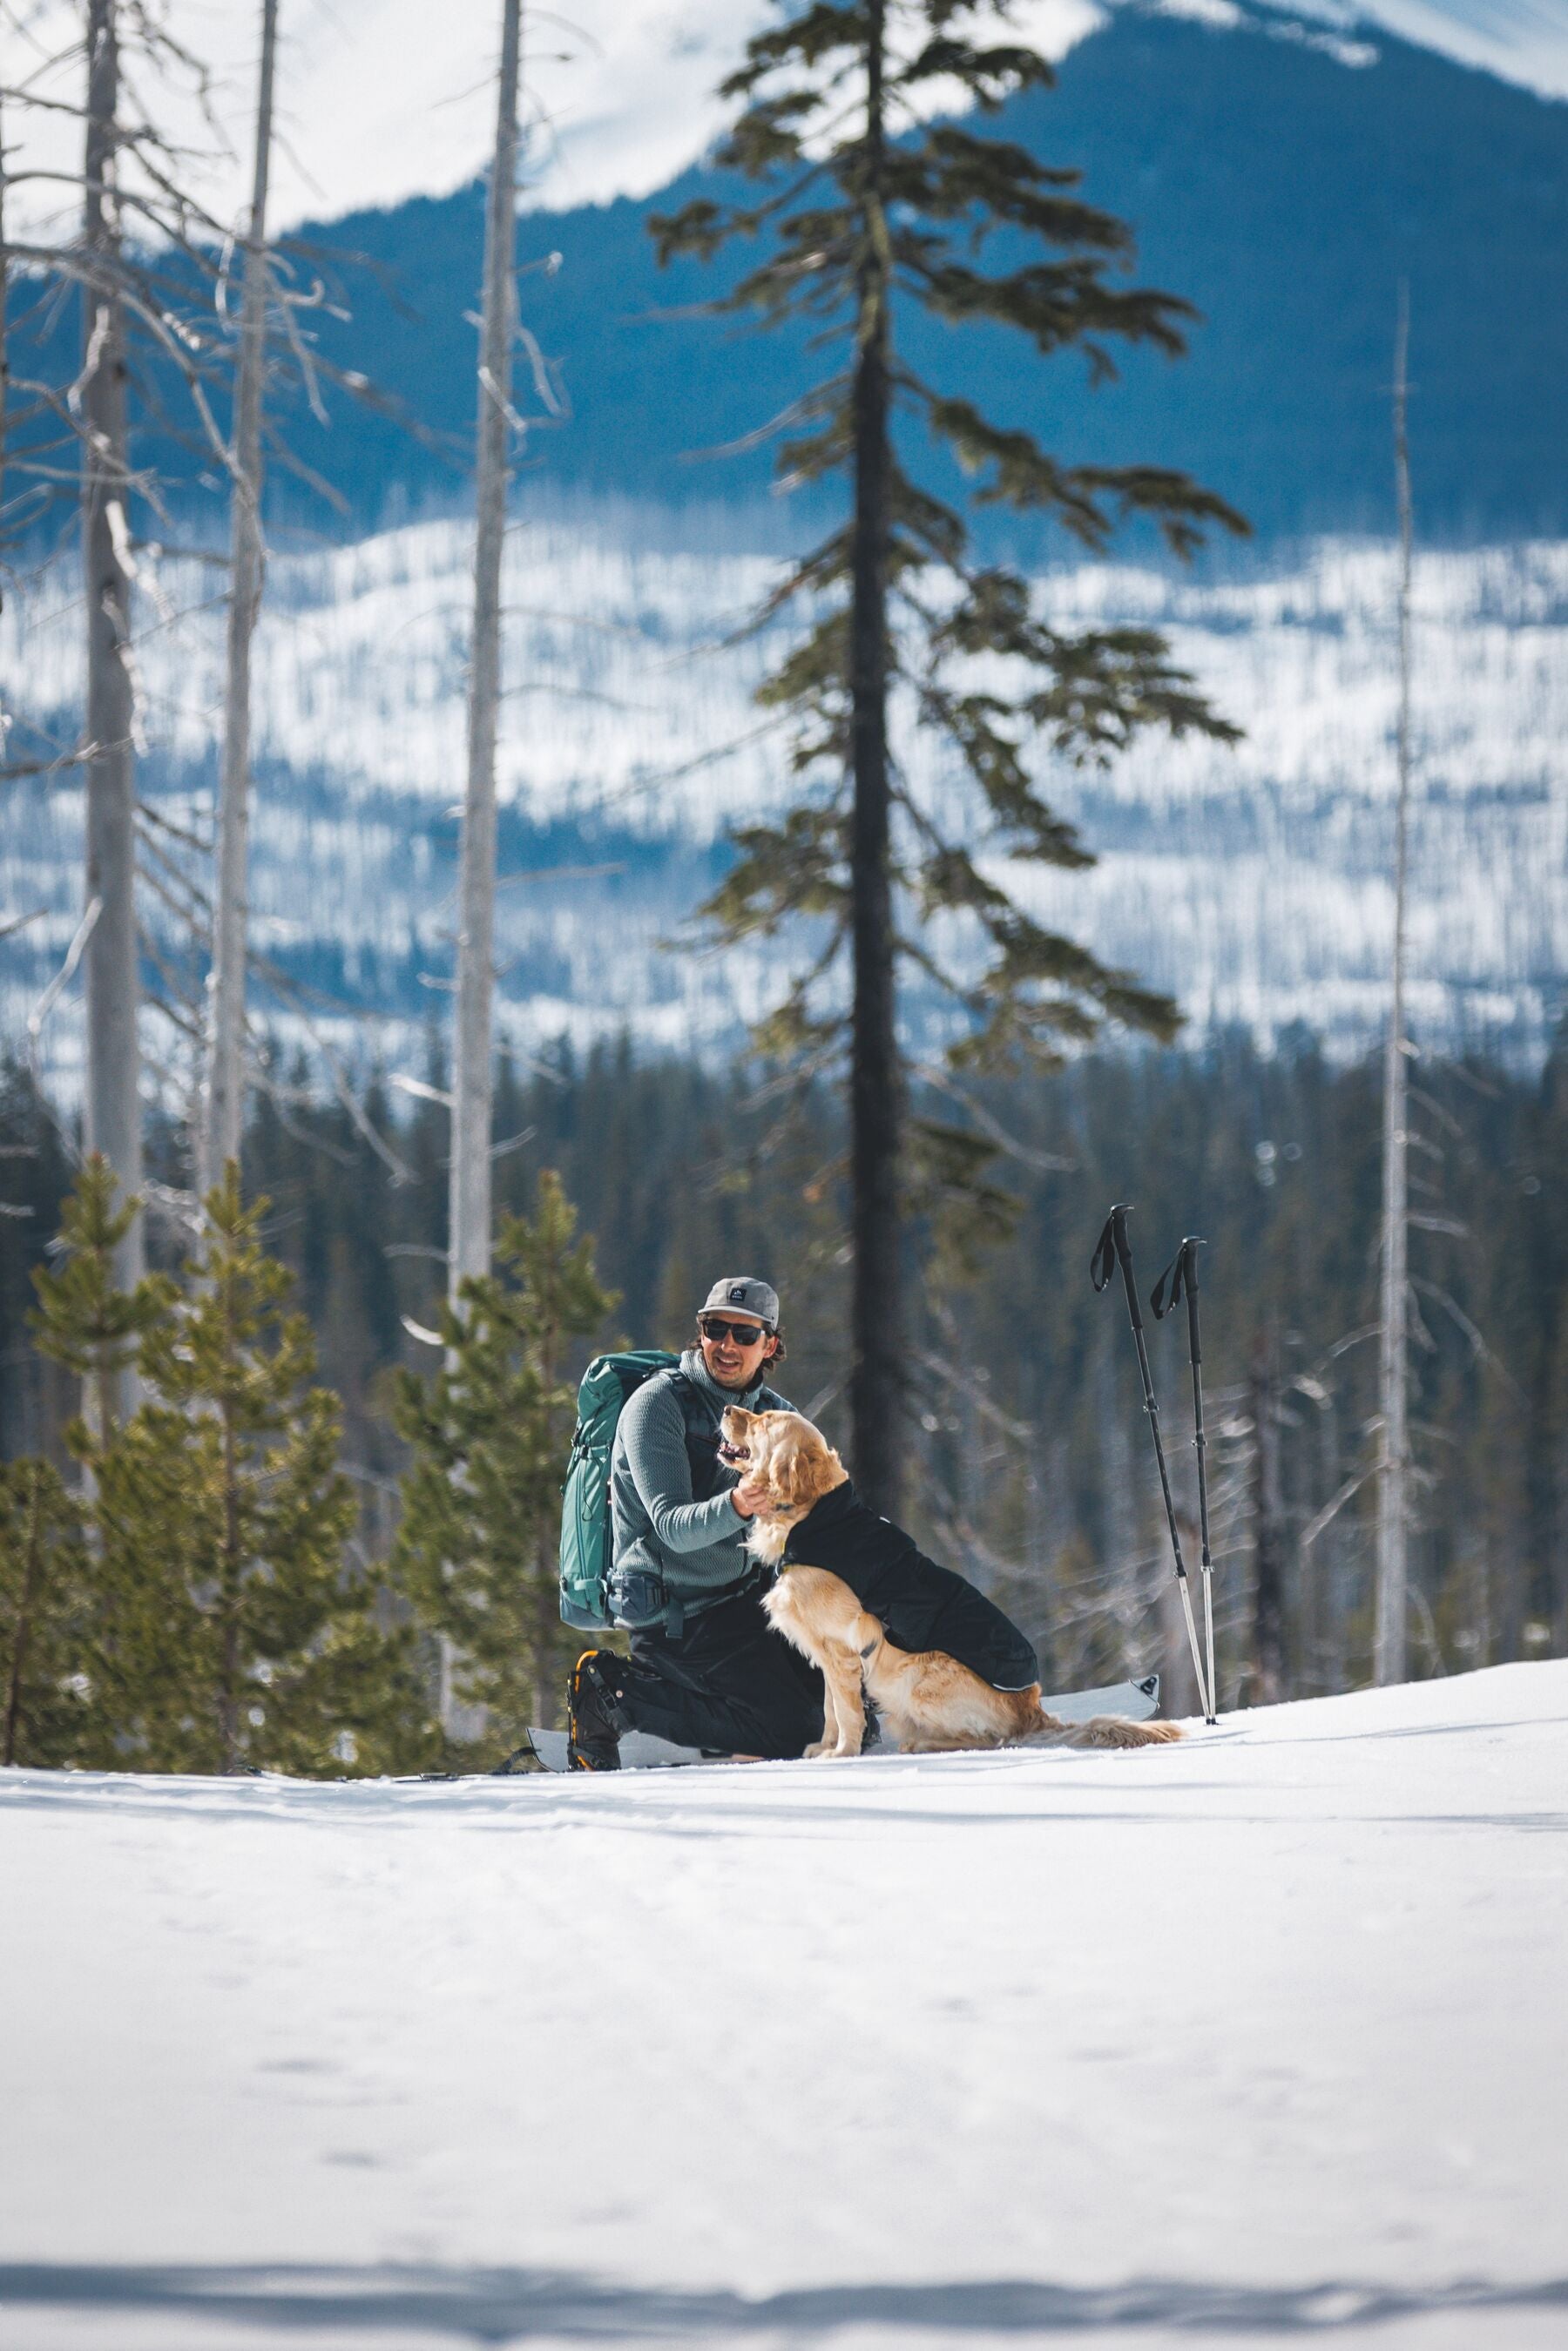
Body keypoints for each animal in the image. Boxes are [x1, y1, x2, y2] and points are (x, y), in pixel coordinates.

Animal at [719, 1401, 1185, 1758]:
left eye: (763, 1421)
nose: (726, 1408)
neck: (814, 1516)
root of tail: (1032, 1710)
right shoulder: (824, 1652)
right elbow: (831, 1709)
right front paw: (824, 1747)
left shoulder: (843, 1649)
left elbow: (847, 1712)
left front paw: (843, 1753)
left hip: (919, 1679)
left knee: (990, 1740)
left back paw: (922, 1743)